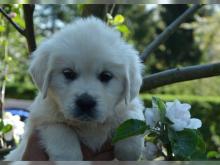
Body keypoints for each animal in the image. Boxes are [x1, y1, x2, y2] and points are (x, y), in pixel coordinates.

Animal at [4, 16, 144, 161]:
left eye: (106, 76)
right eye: (68, 73)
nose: (86, 102)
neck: (88, 125)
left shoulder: (127, 105)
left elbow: (131, 115)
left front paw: (129, 150)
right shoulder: (41, 119)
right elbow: (61, 129)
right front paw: (69, 156)